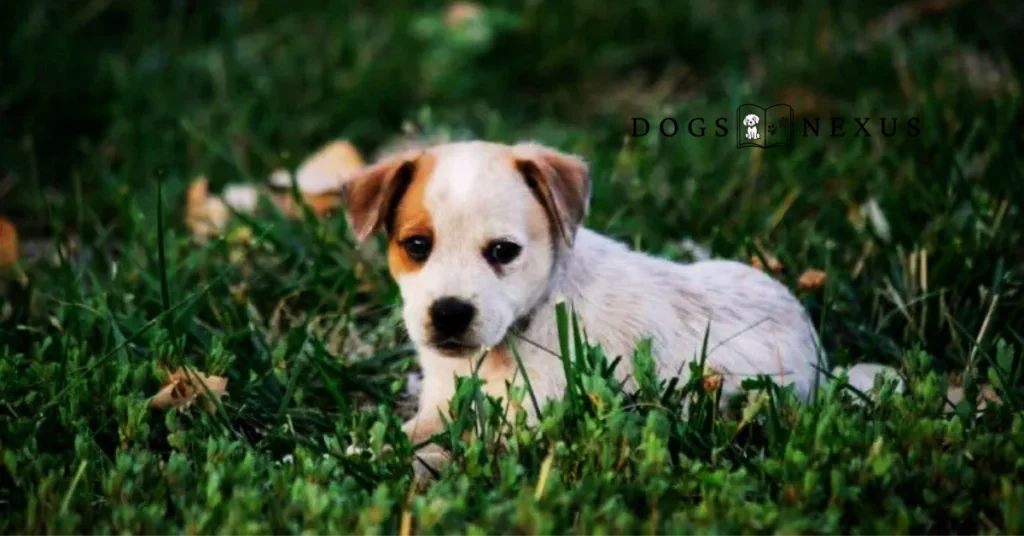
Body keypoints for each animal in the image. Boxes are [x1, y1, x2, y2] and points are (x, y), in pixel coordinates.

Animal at [342, 141, 897, 469]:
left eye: (503, 252)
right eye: (417, 246)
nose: (449, 313)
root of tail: (822, 363)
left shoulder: (524, 424)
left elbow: (442, 449)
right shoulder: (444, 403)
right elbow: (406, 434)